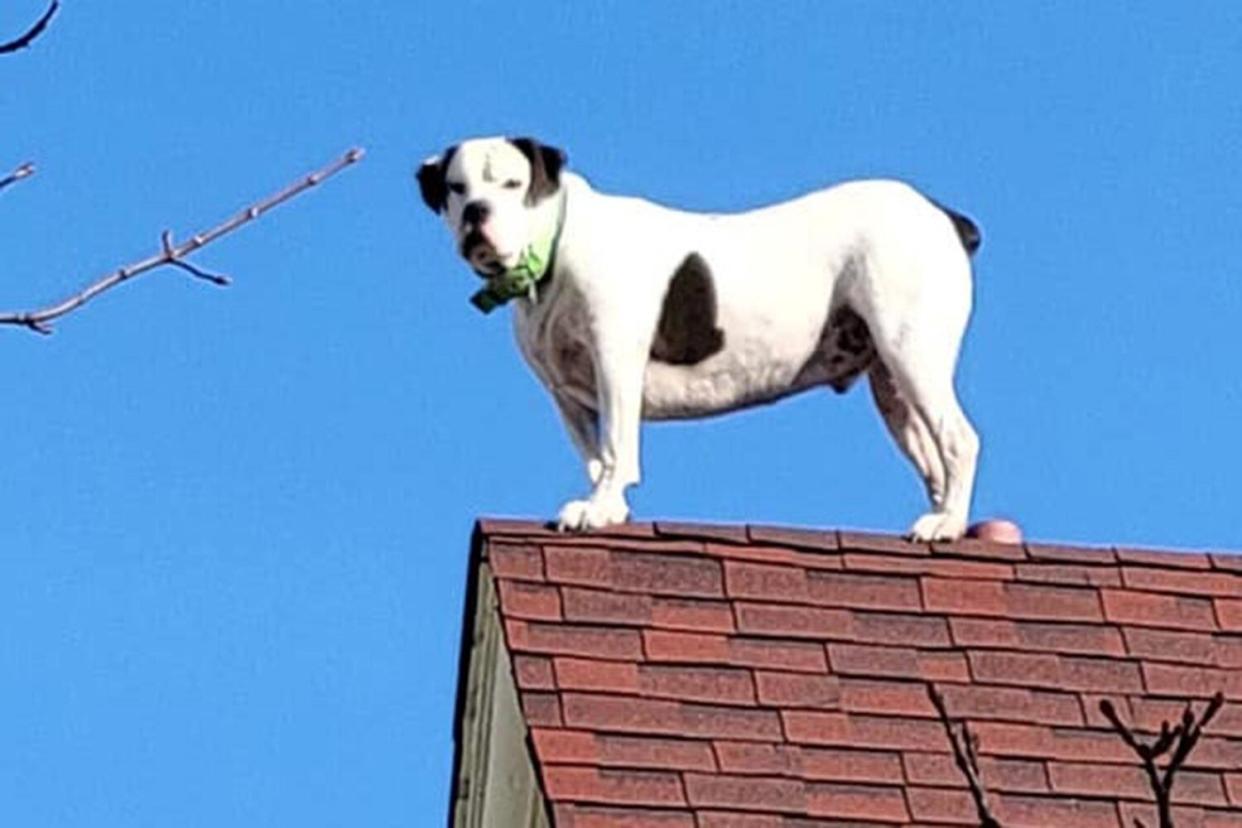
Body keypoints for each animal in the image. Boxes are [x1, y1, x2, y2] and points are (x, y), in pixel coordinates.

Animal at [422, 135, 983, 541]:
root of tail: (944, 216)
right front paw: (608, 505)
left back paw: (948, 525)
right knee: (934, 461)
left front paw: (600, 510)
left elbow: (616, 445)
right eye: (457, 187)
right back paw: (940, 518)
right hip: (892, 384)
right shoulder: (566, 394)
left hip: (911, 350)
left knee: (959, 440)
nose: (476, 212)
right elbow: (596, 456)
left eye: (512, 184)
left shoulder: (614, 362)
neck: (557, 246)